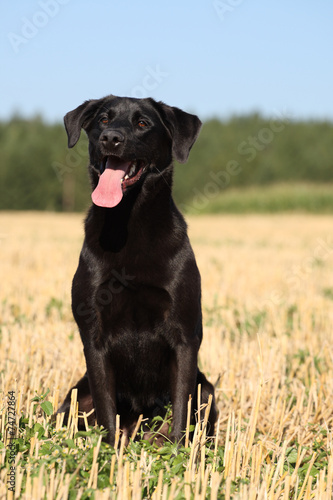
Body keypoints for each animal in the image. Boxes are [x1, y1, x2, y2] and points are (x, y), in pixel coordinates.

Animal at [57, 94, 217, 446]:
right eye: (103, 120)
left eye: (142, 123)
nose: (111, 138)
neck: (128, 224)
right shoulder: (94, 337)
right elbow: (106, 412)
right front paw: (108, 455)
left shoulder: (184, 336)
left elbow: (181, 412)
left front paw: (179, 453)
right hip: (74, 397)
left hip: (207, 390)